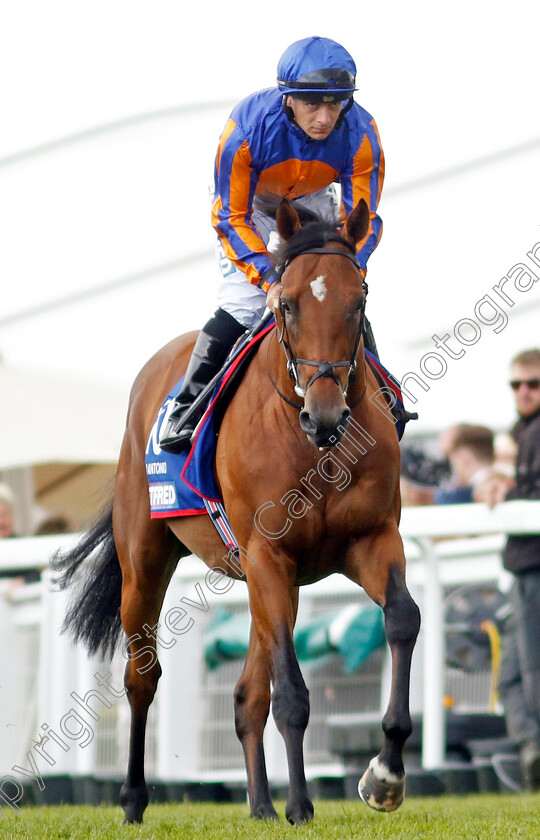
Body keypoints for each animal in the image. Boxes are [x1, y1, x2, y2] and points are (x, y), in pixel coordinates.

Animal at [52, 197, 420, 828]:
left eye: (360, 301)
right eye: (286, 304)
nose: (325, 416)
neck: (311, 447)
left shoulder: (370, 540)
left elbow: (402, 618)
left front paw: (385, 775)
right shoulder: (268, 553)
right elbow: (292, 690)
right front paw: (302, 805)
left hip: (267, 581)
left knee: (249, 693)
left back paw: (261, 806)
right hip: (146, 562)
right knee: (142, 677)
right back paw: (133, 800)